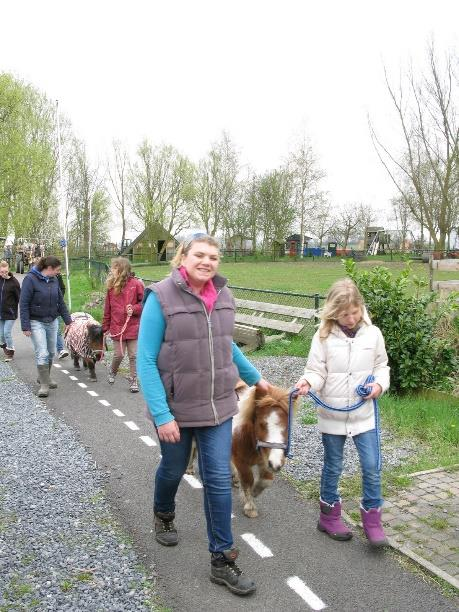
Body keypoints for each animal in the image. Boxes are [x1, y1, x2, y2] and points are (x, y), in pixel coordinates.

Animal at [234, 382, 298, 516]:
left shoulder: (265, 461)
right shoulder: (240, 461)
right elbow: (248, 480)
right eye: (261, 424)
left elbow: (266, 480)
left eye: (287, 426)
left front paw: (255, 491)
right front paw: (250, 507)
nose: (276, 463)